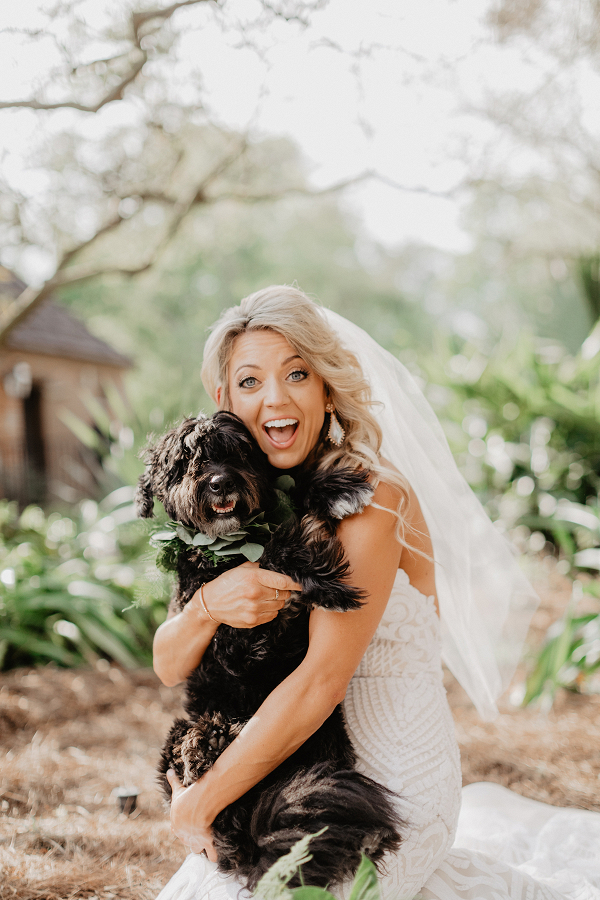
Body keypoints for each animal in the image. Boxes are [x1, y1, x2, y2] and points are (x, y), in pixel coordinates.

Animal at [136, 412, 404, 888]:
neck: (225, 552)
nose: (220, 482)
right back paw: (211, 741)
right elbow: (274, 552)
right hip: (181, 737)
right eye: (184, 462)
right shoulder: (233, 637)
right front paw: (327, 581)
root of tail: (248, 836)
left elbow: (291, 509)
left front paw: (336, 487)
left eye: (238, 452)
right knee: (188, 751)